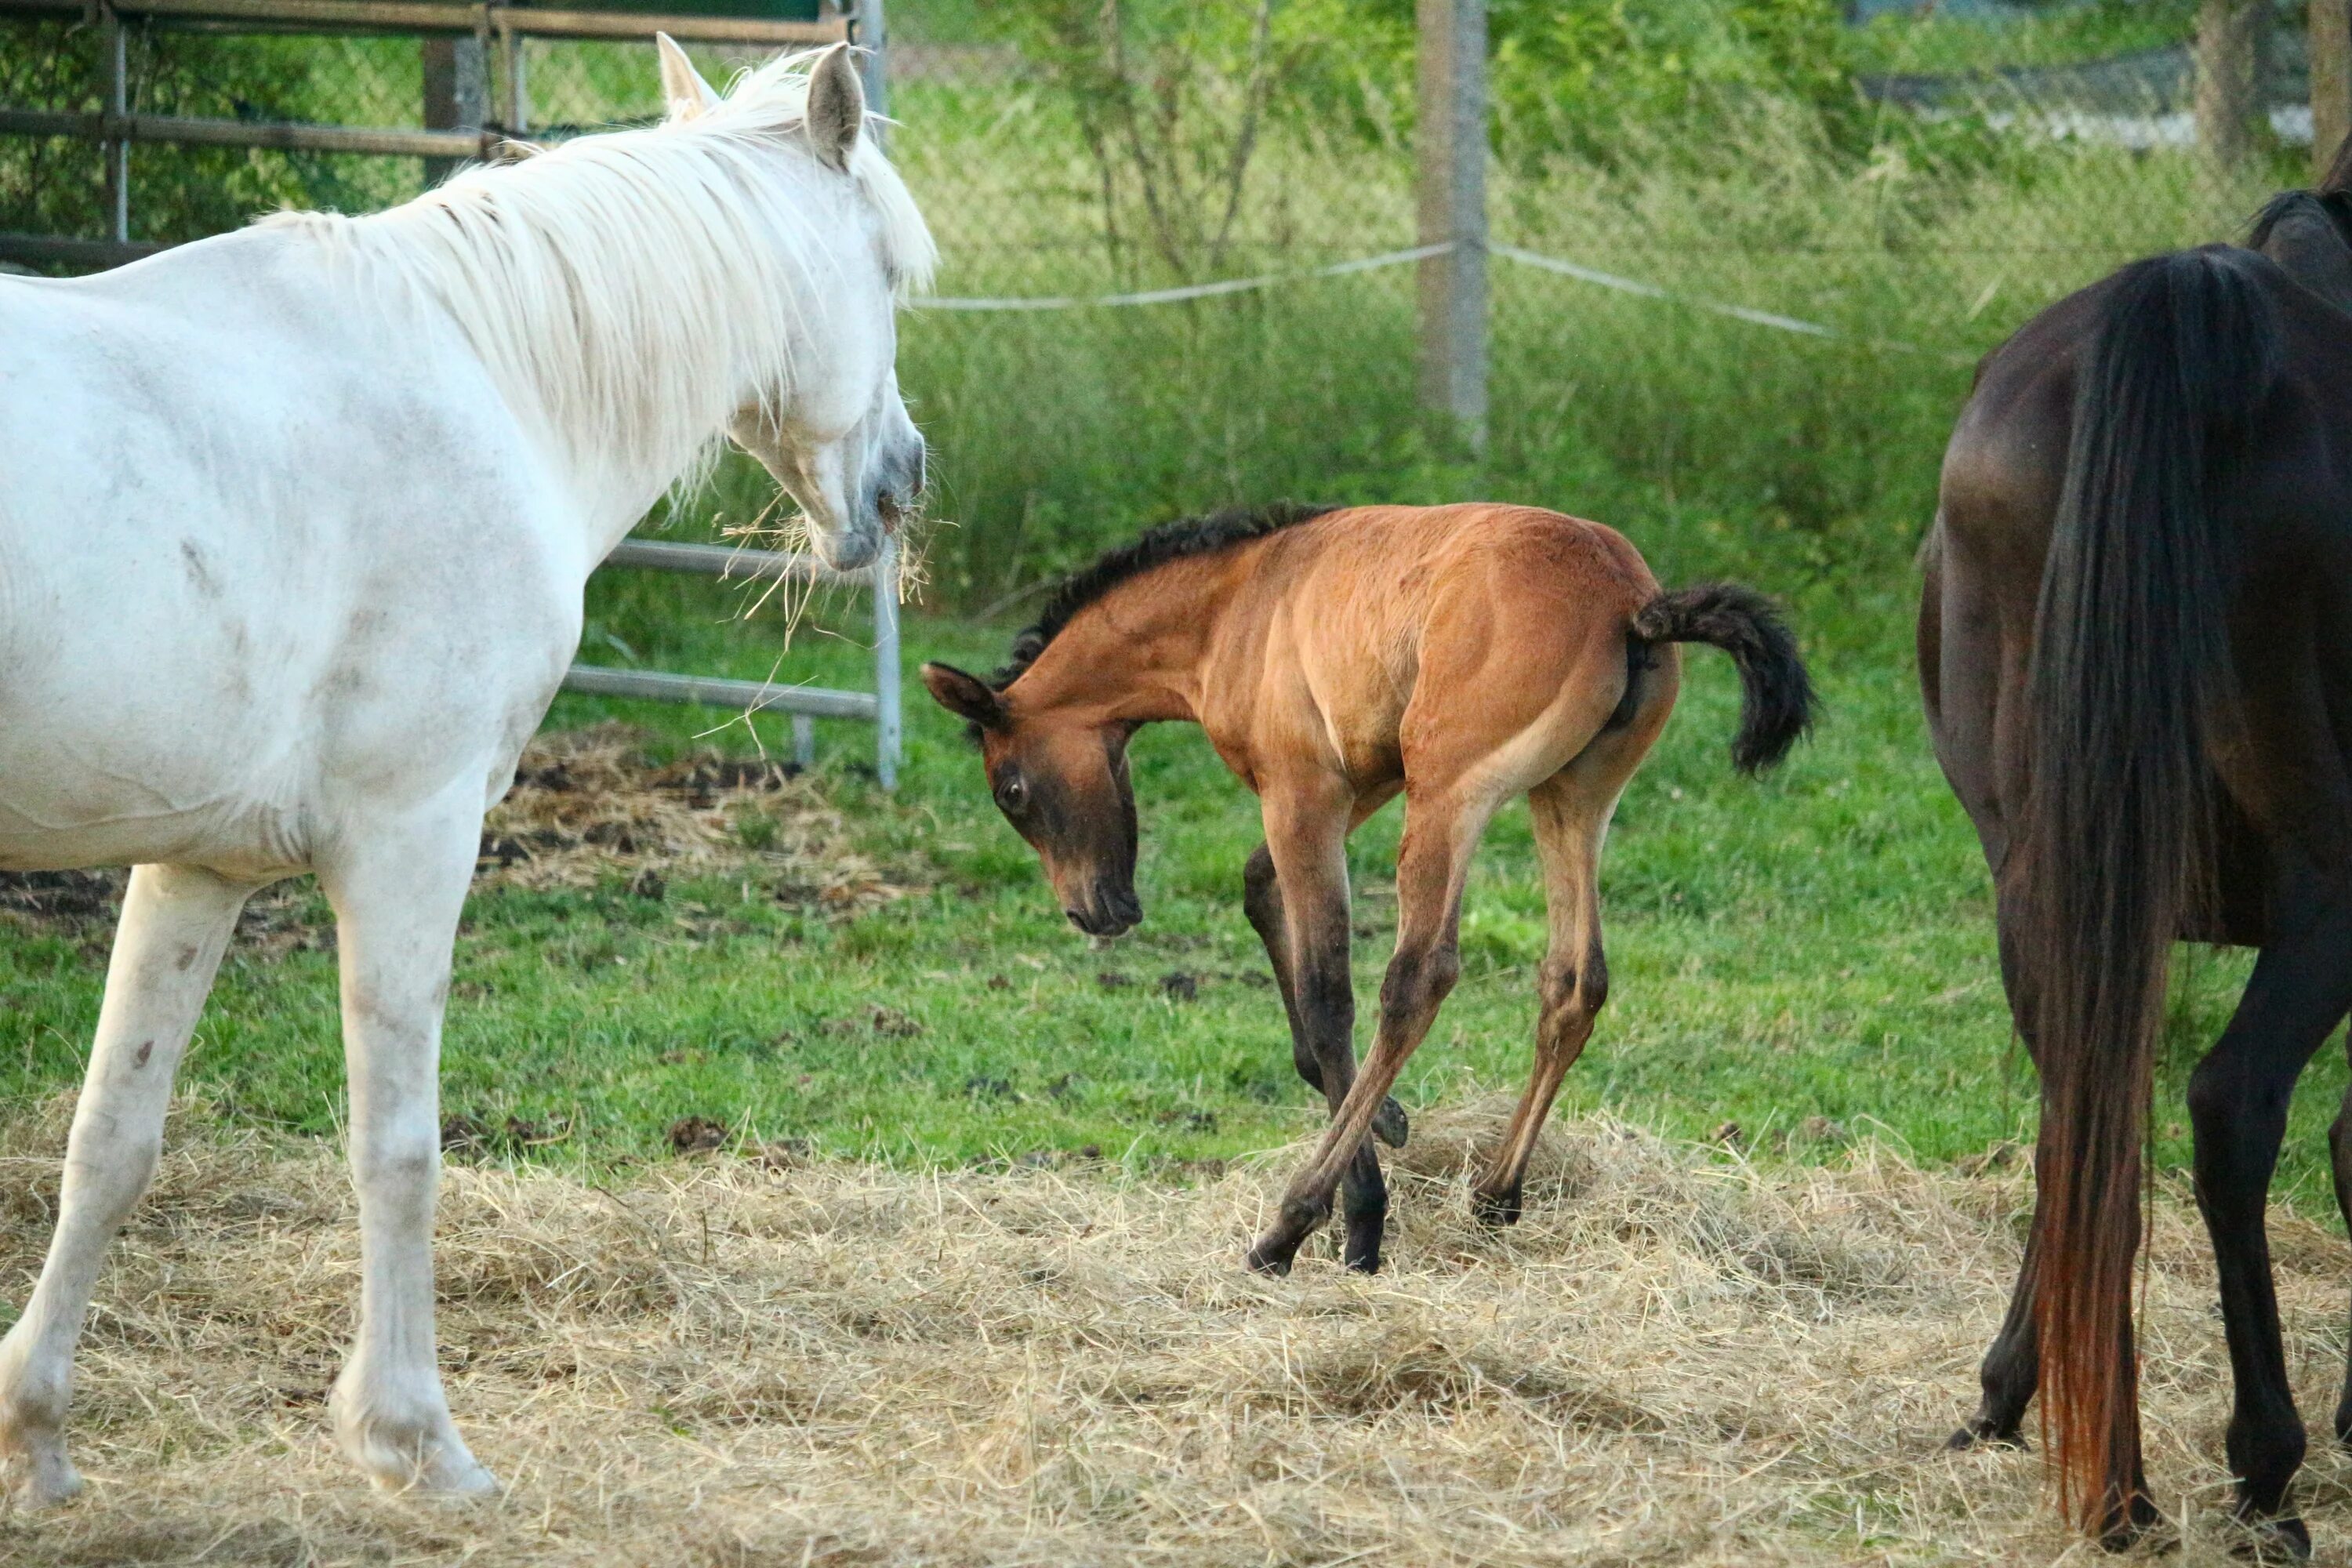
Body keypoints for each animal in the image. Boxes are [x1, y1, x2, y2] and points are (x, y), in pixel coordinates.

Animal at [0, 39, 931, 1504]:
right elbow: (397, 1150)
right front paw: (414, 1441)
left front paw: (35, 1441)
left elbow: (111, 1141)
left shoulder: (195, 865)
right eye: (887, 269)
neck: (487, 382)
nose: (901, 484)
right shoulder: (413, 838)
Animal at [922, 503, 1816, 1279]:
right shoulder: (1364, 776)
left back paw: (1287, 1227)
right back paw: (1496, 1194)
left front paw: (1361, 1215)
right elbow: (1260, 890)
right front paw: (1381, 1117)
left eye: (1010, 790)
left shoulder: (1302, 790)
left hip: (1452, 791)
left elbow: (1328, 991)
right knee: (1573, 979)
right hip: (1573, 794)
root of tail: (1630, 600)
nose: (1095, 913)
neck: (1234, 605)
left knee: (1418, 979)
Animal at [1919, 169, 2352, 1542]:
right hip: (2334, 887)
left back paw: (2103, 1473)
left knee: (2087, 1099)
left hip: (2045, 876)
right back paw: (2262, 1466)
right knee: (2232, 1106)